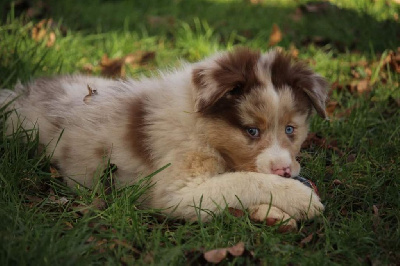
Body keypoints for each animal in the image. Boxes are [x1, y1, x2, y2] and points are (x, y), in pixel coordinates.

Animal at [0, 47, 328, 224]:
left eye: (290, 129)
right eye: (251, 131)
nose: (285, 170)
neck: (199, 124)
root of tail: (17, 94)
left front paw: (276, 212)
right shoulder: (176, 191)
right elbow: (242, 180)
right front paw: (301, 198)